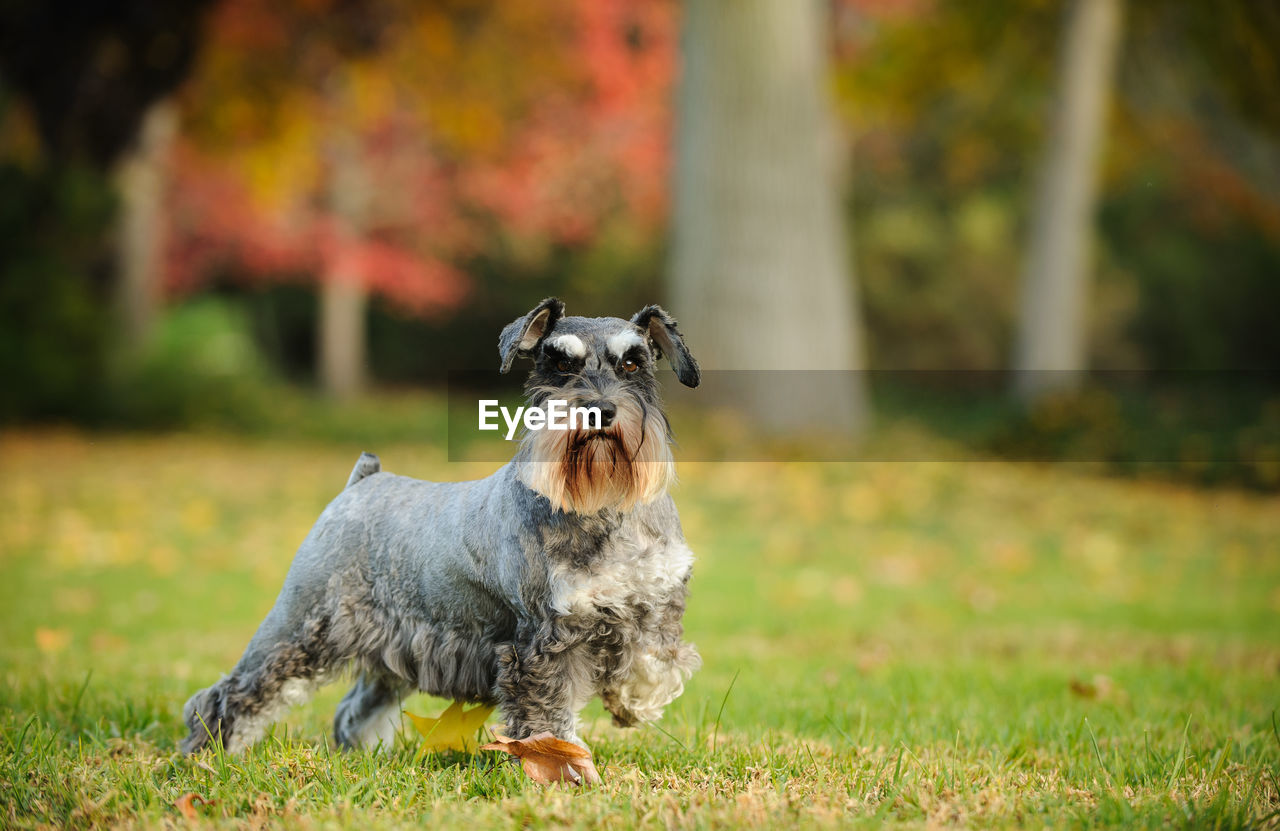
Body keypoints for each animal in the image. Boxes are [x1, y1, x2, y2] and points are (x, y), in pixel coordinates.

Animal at [177, 297, 701, 752]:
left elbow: (655, 663)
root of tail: (363, 481)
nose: (598, 410)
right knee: (237, 692)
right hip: (300, 628)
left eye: (632, 364)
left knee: (356, 708)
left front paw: (630, 704)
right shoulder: (542, 640)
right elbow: (548, 715)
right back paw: (212, 753)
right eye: (558, 365)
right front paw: (562, 763)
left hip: (392, 647)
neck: (606, 508)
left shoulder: (657, 606)